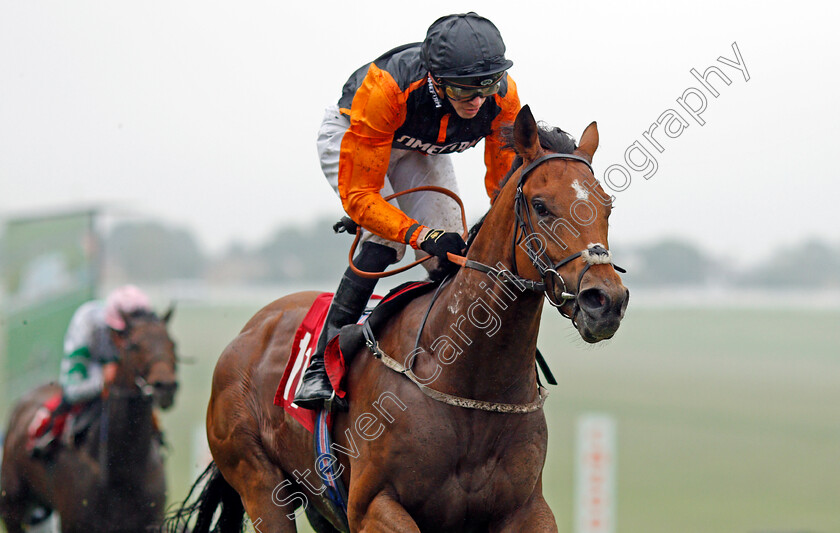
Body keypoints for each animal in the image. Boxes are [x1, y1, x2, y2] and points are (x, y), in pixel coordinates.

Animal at [1, 308, 179, 532]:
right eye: (133, 345)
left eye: (172, 344)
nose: (165, 386)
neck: (122, 471)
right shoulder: (74, 522)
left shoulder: (152, 521)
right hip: (13, 507)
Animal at [169, 106, 624, 528]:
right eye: (540, 205)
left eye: (608, 205)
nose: (605, 300)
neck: (470, 380)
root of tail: (250, 331)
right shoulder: (372, 506)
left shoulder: (527, 509)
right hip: (260, 484)